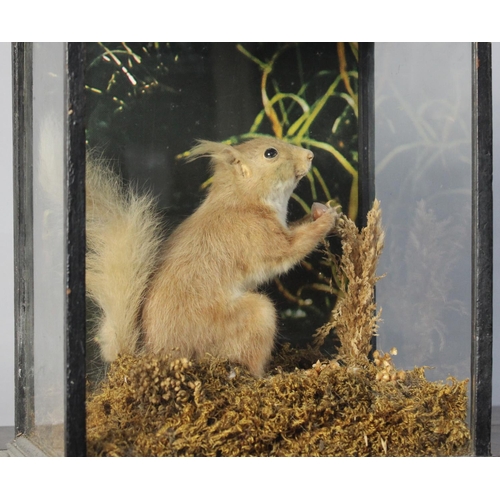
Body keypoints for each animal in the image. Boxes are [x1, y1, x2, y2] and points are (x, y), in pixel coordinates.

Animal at [86, 137, 338, 376]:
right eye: (270, 153)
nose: (310, 154)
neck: (241, 200)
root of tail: (157, 355)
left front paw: (320, 210)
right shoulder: (258, 236)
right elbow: (292, 247)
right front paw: (329, 217)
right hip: (254, 317)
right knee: (251, 364)